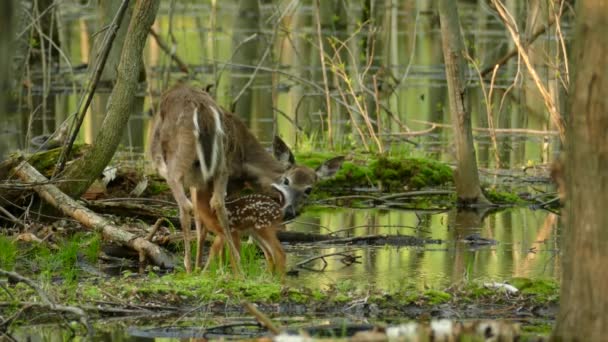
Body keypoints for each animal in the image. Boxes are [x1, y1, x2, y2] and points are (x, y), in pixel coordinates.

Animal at [148, 84, 342, 274]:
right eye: (286, 181)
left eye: (309, 189)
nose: (289, 211)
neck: (246, 164)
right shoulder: (217, 181)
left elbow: (204, 218)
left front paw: (207, 266)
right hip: (212, 165)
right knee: (209, 203)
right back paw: (226, 267)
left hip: (185, 162)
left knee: (190, 203)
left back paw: (195, 267)